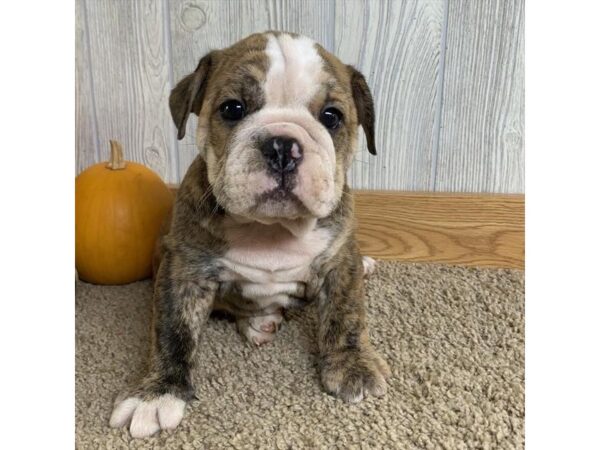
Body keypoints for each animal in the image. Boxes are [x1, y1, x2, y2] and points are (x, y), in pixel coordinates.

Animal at [110, 32, 392, 440]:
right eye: (232, 108)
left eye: (331, 117)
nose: (281, 146)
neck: (271, 228)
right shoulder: (184, 271)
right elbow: (172, 330)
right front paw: (158, 393)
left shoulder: (340, 261)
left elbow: (347, 312)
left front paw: (353, 365)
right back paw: (259, 321)